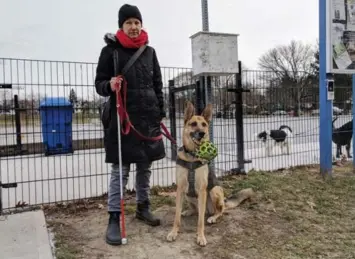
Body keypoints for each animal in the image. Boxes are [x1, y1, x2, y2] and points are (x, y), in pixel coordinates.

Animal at [167, 101, 256, 248]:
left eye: (204, 124)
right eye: (193, 124)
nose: (202, 133)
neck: (192, 156)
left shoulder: (203, 190)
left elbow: (200, 222)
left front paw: (201, 237)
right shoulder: (180, 189)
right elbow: (176, 217)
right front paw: (173, 232)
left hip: (214, 191)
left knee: (219, 211)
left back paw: (213, 217)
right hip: (188, 195)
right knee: (196, 210)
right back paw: (189, 211)